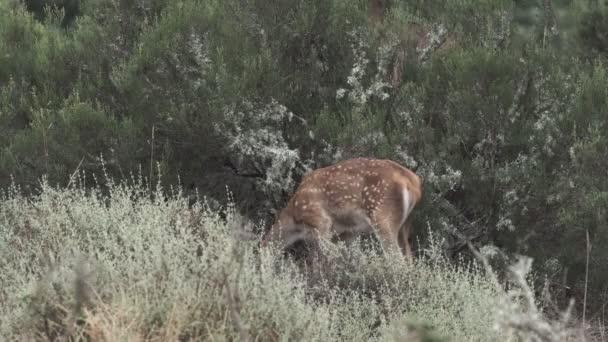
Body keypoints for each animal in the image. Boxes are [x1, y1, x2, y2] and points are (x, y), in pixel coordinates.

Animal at [262, 158, 422, 260]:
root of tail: (413, 183)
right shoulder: (348, 232)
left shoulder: (321, 221)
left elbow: (330, 255)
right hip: (405, 224)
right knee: (409, 258)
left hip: (382, 215)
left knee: (397, 259)